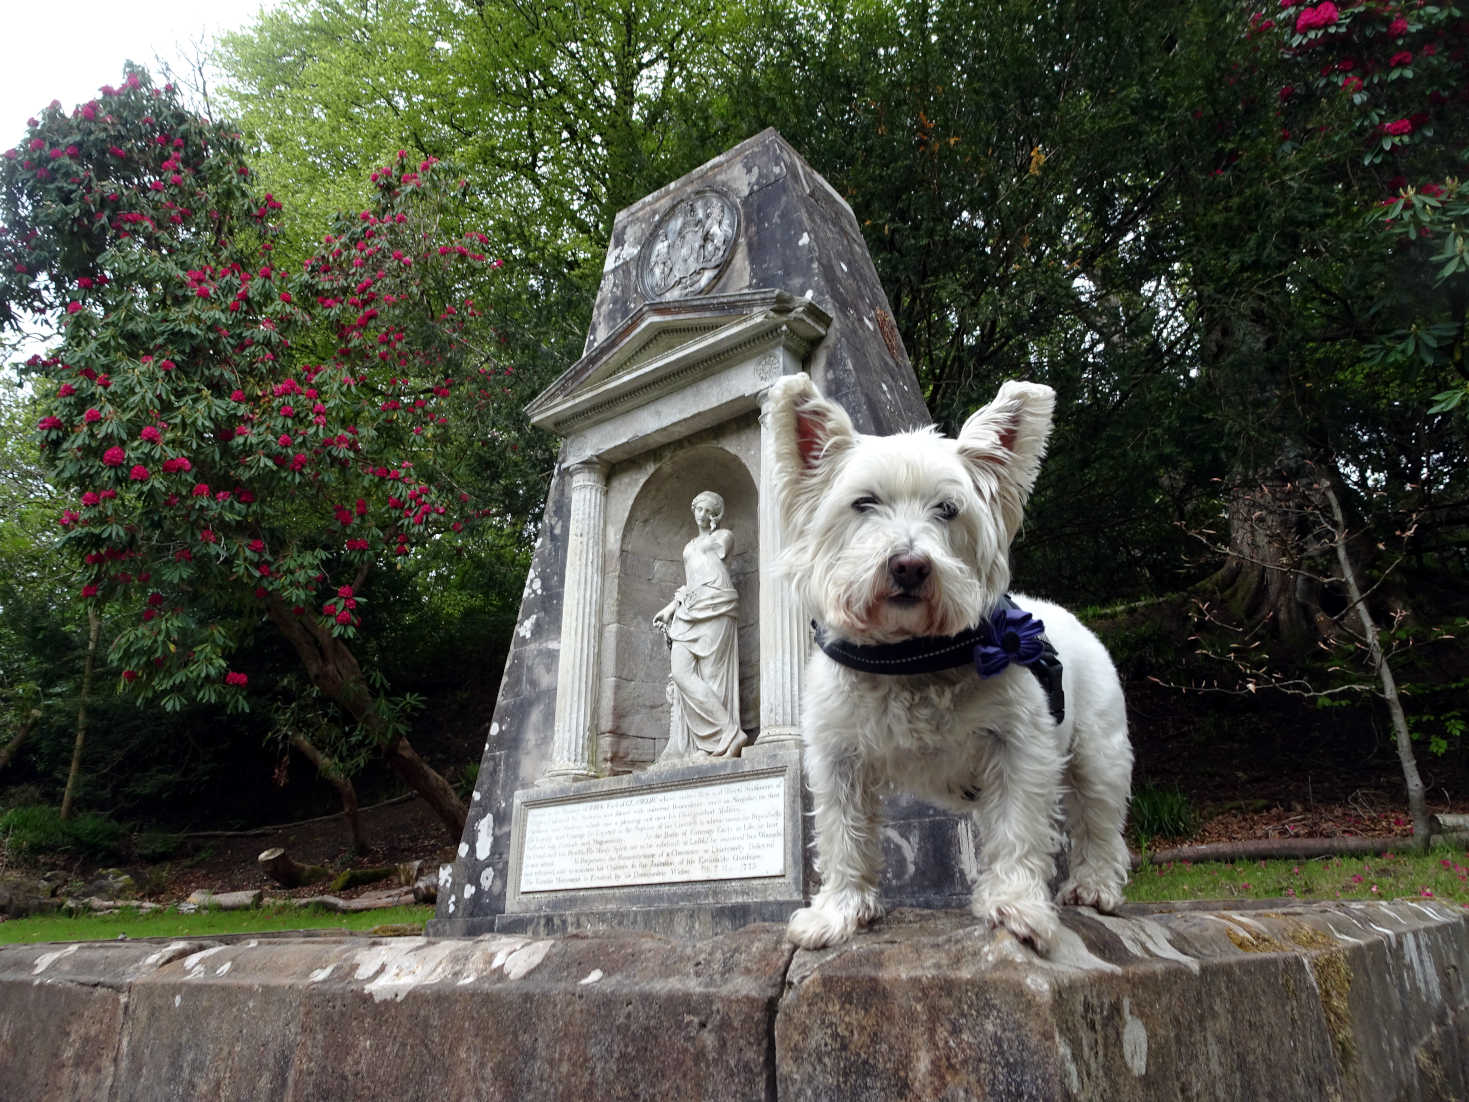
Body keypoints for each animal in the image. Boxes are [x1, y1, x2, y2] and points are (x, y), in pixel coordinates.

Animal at [769, 373, 1134, 958]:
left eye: (947, 509)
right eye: (864, 503)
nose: (910, 566)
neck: (908, 657)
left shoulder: (1019, 749)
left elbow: (1017, 827)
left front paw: (1017, 906)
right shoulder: (838, 759)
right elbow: (843, 835)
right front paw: (838, 912)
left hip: (1099, 755)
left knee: (1099, 823)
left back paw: (1096, 886)